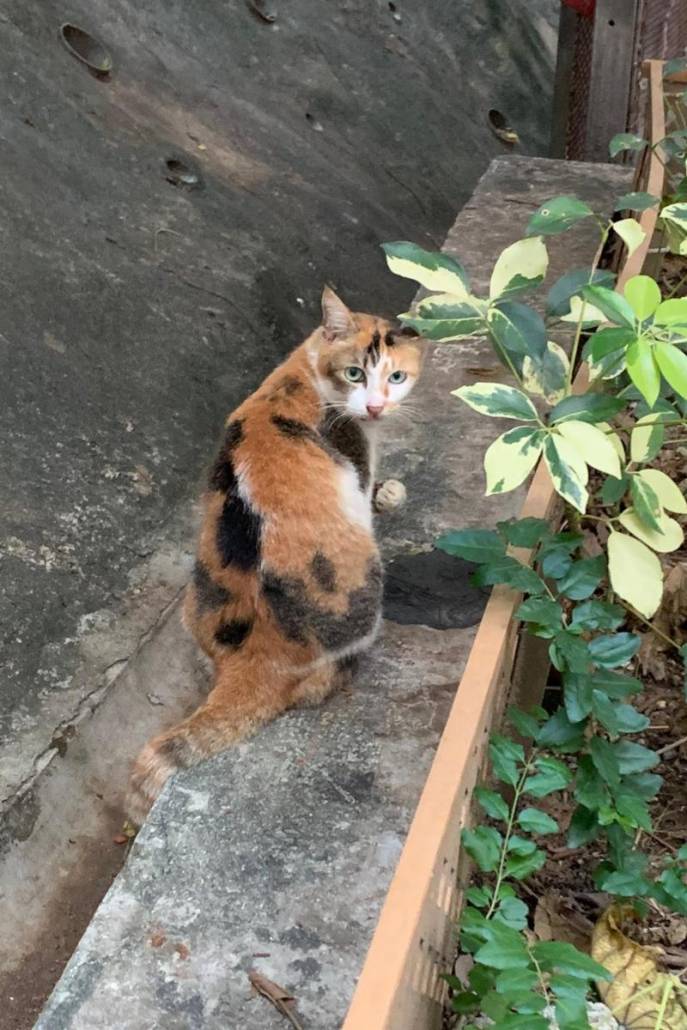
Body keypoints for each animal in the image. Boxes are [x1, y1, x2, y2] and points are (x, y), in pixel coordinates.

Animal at [126, 286, 422, 824]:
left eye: (397, 377)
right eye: (355, 373)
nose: (374, 407)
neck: (304, 368)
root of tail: (255, 656)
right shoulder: (356, 461)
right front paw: (389, 495)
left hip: (194, 608)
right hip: (360, 592)